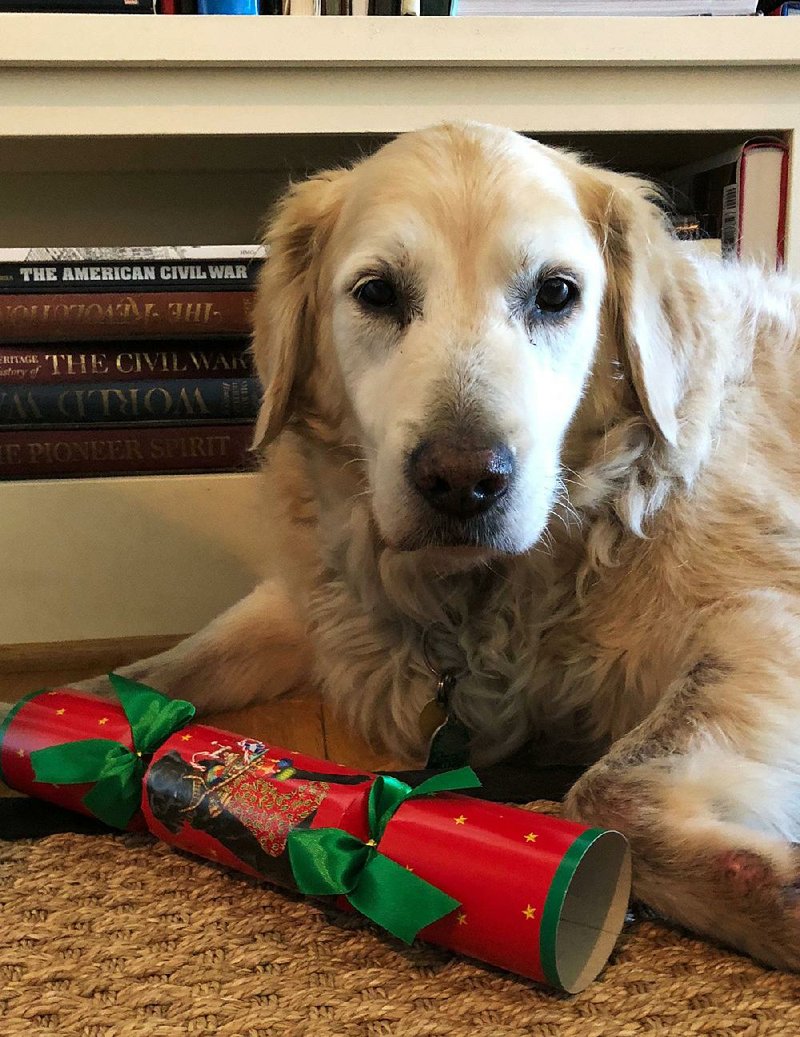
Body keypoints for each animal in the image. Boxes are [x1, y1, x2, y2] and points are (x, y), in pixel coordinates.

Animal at [87, 121, 800, 970]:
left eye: (556, 293)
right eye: (377, 292)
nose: (463, 481)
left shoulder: (764, 617)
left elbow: (603, 791)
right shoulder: (320, 599)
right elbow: (161, 667)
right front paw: (76, 709)